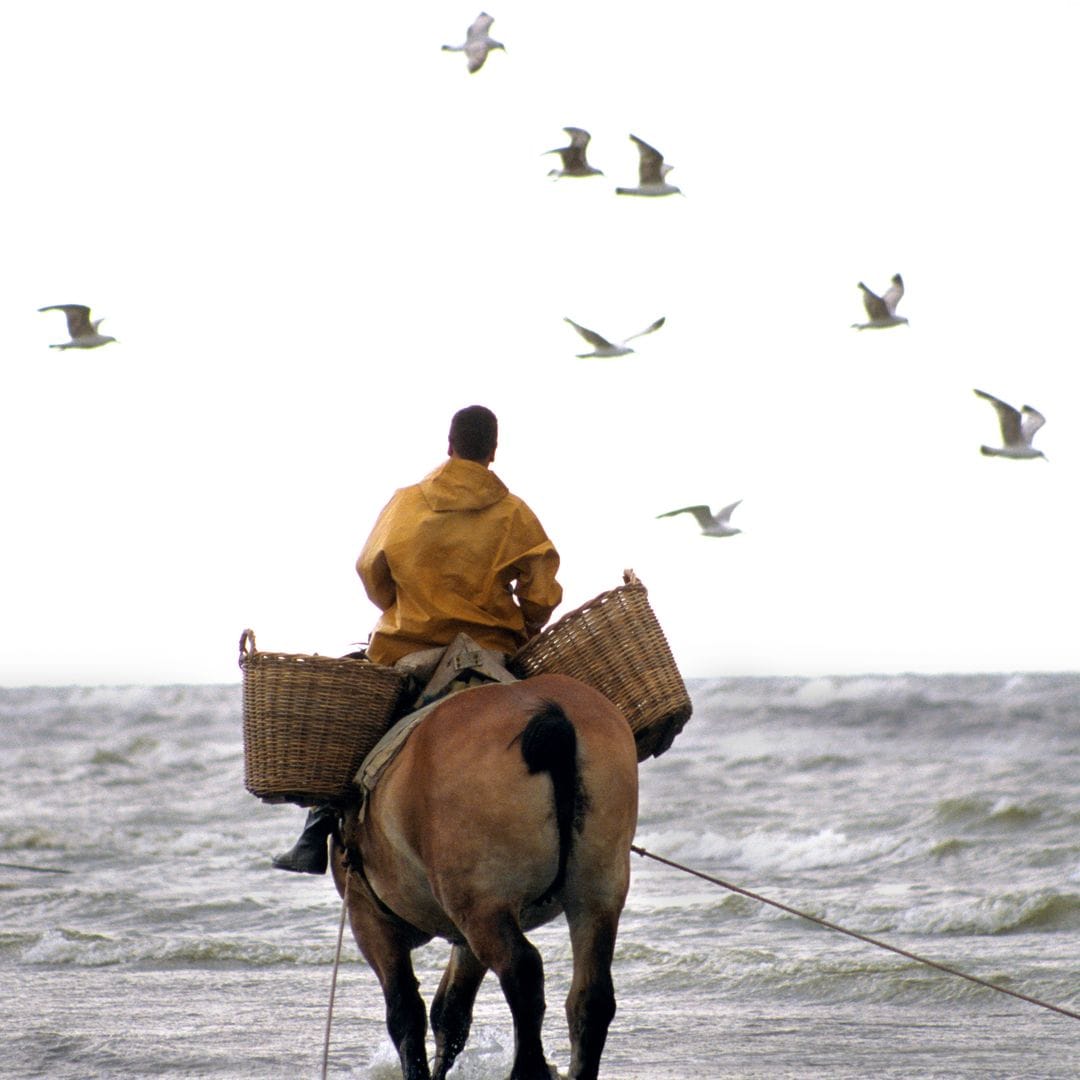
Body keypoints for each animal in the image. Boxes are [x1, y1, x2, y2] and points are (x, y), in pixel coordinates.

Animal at [332, 669, 635, 1075]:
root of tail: (546, 714)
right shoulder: (465, 933)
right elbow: (451, 1011)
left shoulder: (369, 918)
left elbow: (405, 1011)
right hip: (594, 894)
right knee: (590, 996)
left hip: (482, 906)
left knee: (523, 970)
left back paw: (528, 1068)